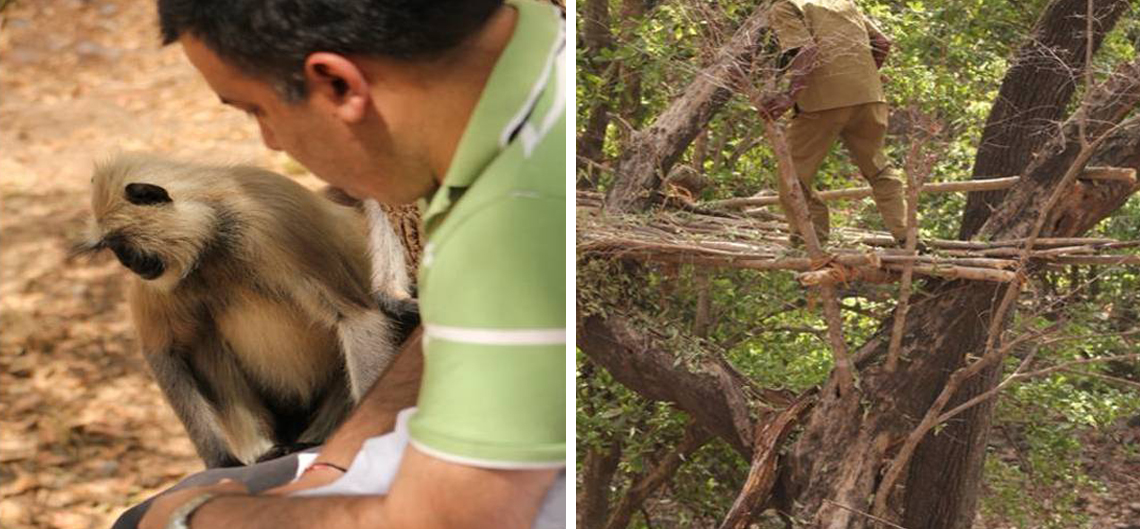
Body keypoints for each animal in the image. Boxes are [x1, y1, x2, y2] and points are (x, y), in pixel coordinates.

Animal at [80, 152, 419, 467]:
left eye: (123, 247)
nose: (127, 264)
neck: (214, 237)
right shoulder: (163, 280)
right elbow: (163, 352)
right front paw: (220, 460)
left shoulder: (271, 223)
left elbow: (355, 317)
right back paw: (266, 448)